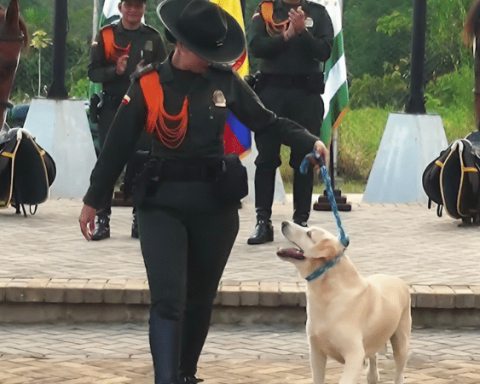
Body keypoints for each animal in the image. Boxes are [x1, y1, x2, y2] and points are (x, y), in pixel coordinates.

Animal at [278, 222, 412, 384]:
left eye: (309, 234)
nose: (284, 223)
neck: (327, 293)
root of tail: (398, 280)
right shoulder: (316, 351)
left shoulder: (354, 355)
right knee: (373, 357)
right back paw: (372, 376)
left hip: (401, 341)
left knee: (399, 372)